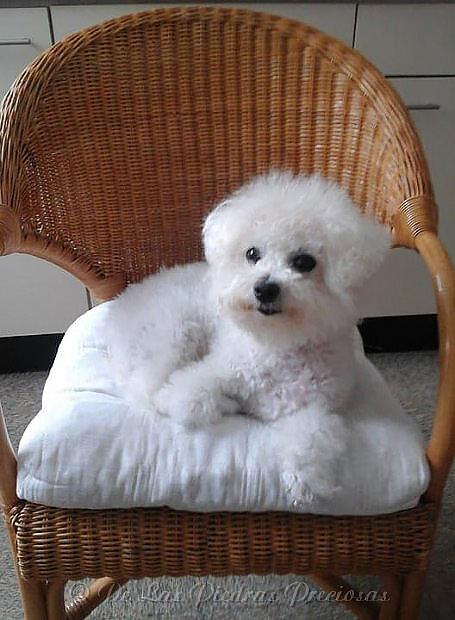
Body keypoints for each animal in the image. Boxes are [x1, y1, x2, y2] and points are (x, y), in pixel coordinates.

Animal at [107, 171, 390, 503]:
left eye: (304, 261)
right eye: (252, 254)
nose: (264, 289)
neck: (280, 344)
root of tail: (119, 309)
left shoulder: (317, 407)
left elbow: (312, 439)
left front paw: (305, 480)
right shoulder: (210, 373)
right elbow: (186, 401)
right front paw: (225, 402)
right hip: (175, 336)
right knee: (145, 387)